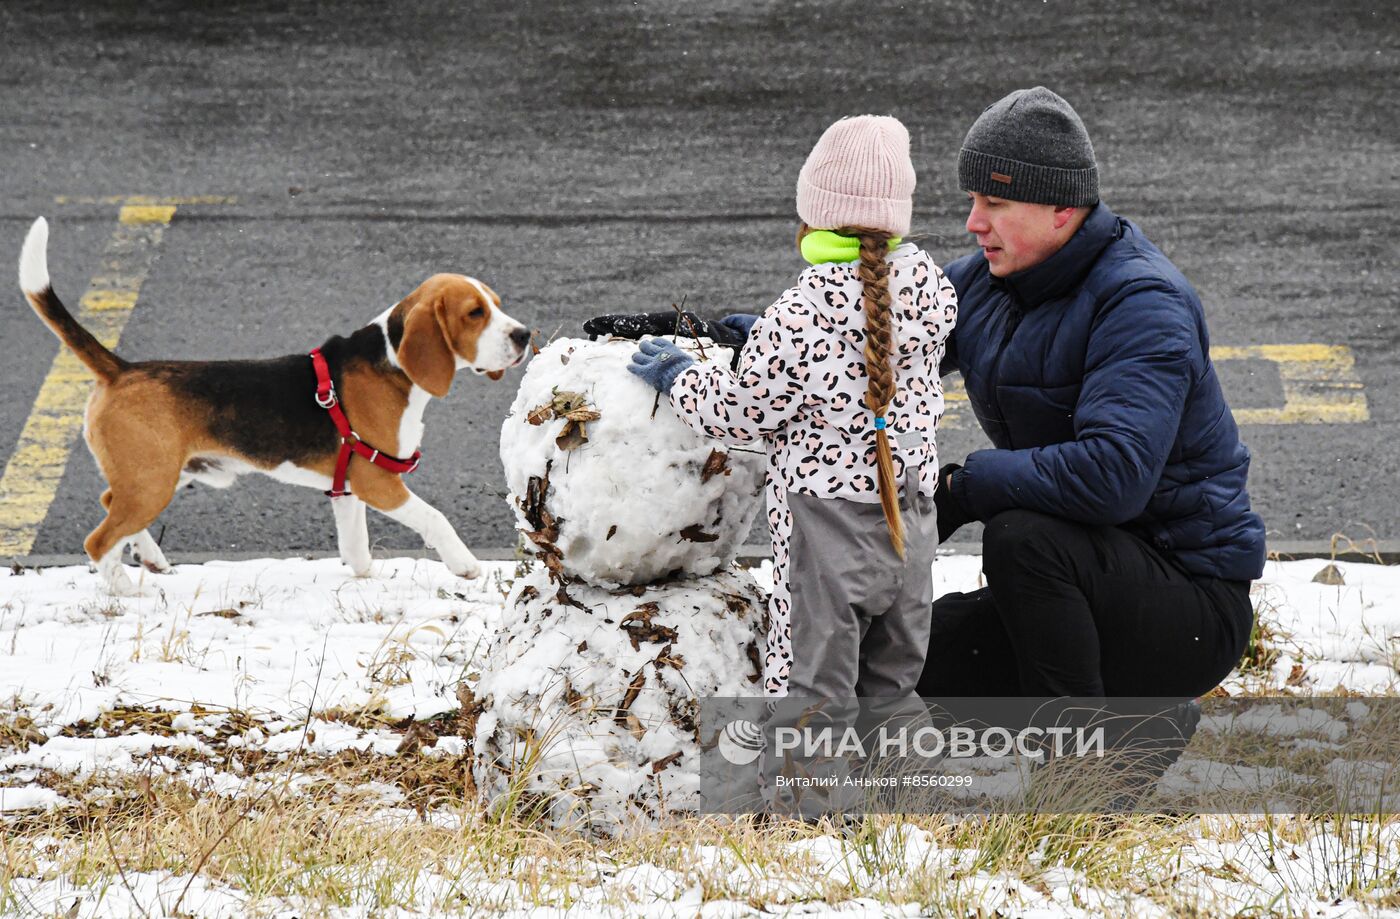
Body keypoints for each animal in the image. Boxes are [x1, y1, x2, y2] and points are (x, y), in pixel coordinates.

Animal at [15, 218, 529, 599]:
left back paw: (152, 559)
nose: (525, 335)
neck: (390, 361)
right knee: (98, 539)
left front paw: (365, 578)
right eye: (474, 313)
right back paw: (127, 590)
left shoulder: (347, 487)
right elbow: (435, 517)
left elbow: (358, 548)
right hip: (152, 481)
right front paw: (465, 565)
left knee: (110, 506)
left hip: (157, 476)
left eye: (497, 304)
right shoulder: (379, 481)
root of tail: (121, 369)